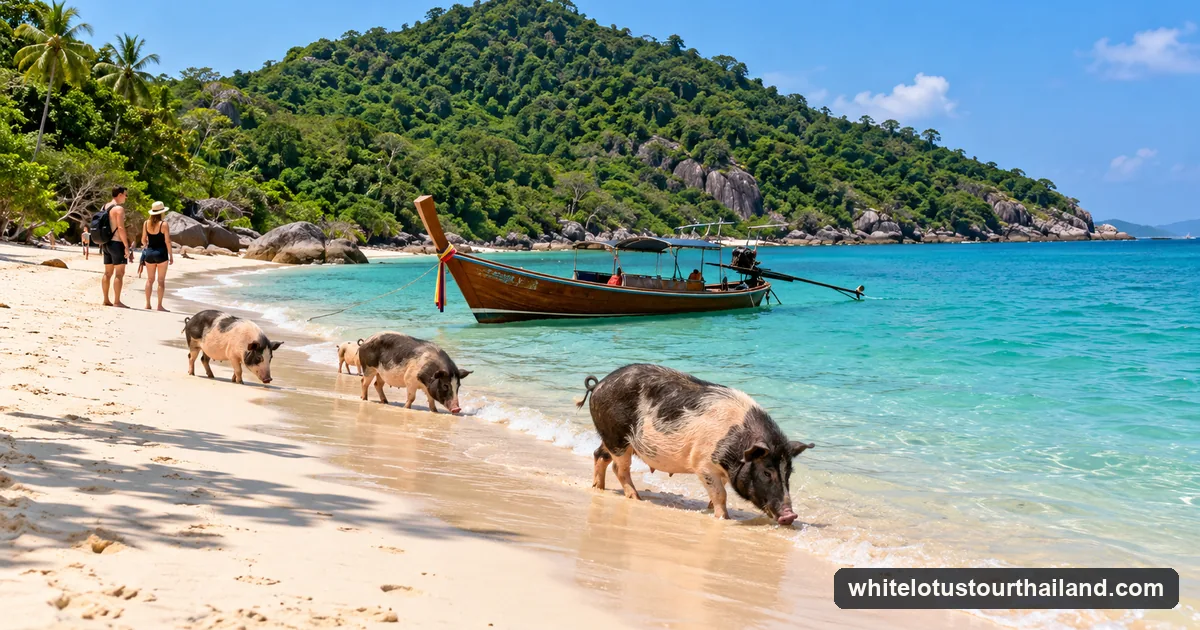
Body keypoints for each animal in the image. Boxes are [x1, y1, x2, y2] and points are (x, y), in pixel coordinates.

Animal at [578, 364, 813, 525]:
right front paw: (723, 518)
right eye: (766, 472)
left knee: (599, 454)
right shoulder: (702, 464)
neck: (736, 445)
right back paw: (637, 498)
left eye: (789, 473)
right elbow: (721, 493)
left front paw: (710, 509)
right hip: (617, 438)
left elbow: (719, 490)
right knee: (619, 468)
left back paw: (598, 488)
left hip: (611, 438)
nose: (790, 515)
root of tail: (598, 385)